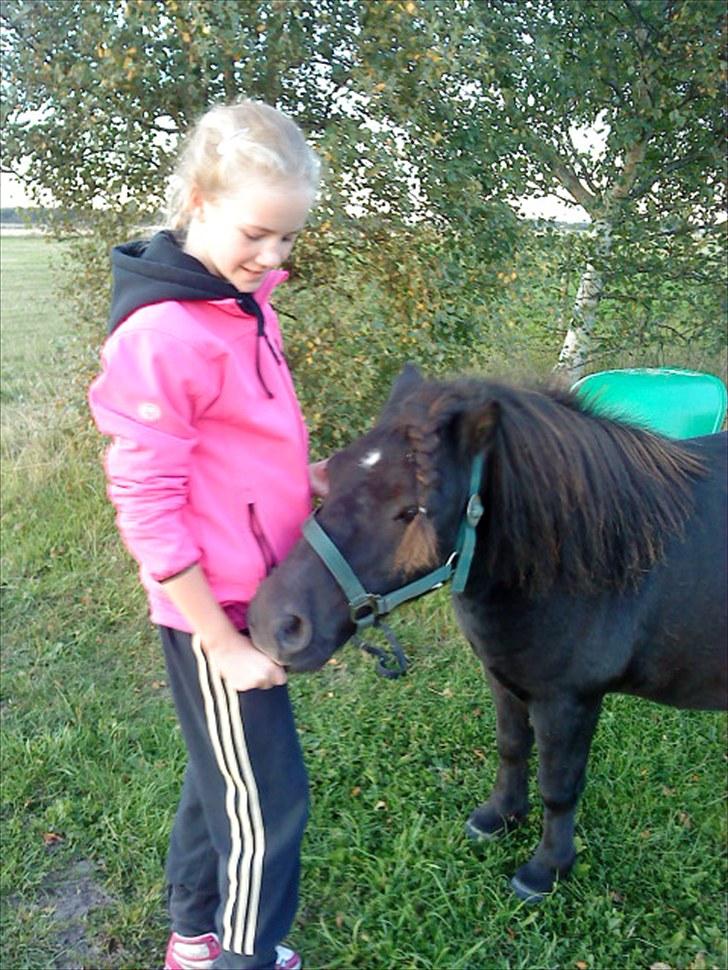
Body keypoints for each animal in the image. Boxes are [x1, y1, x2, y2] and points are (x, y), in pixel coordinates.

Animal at [247, 364, 724, 900]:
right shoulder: (505, 679)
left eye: (412, 510)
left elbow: (559, 787)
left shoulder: (569, 701)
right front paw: (499, 818)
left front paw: (547, 869)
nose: (275, 622)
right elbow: (512, 748)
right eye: (335, 476)